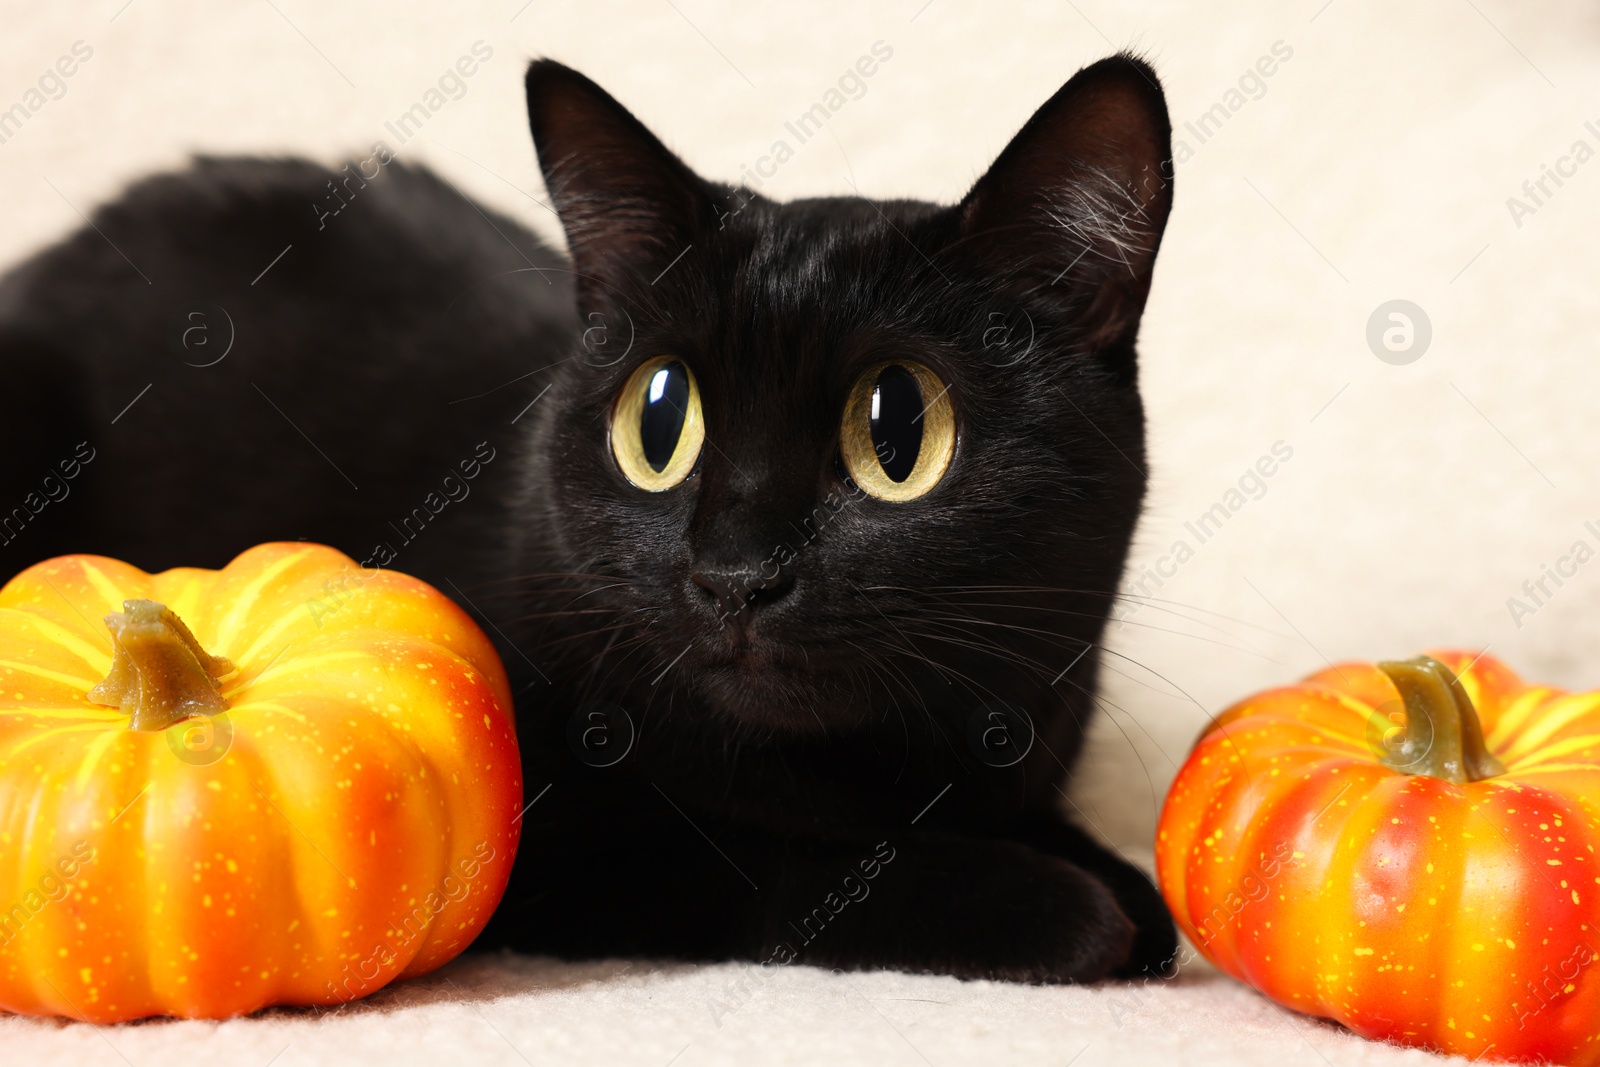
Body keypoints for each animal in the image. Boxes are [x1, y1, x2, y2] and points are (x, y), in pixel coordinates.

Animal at [0, 54, 1177, 979]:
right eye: (659, 421)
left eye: (898, 435)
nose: (733, 574)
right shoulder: (558, 844)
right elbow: (771, 862)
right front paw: (1071, 907)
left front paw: (1128, 888)